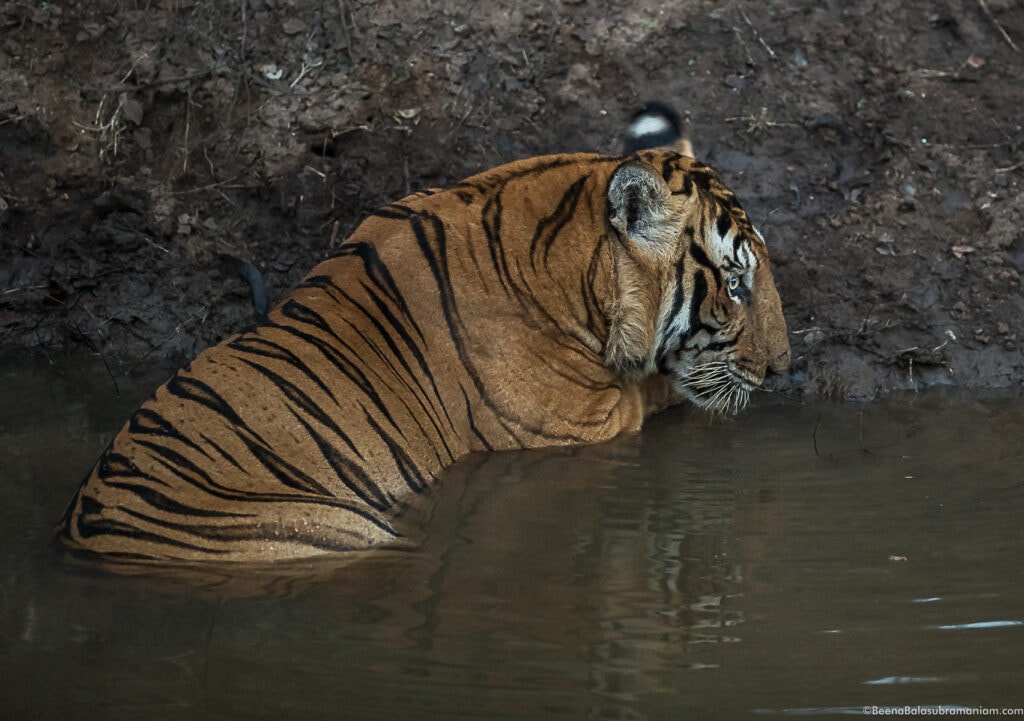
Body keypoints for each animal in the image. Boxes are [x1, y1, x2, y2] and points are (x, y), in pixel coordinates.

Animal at [56, 105, 790, 565]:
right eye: (736, 284)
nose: (784, 368)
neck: (570, 267)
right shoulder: (580, 424)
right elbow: (662, 392)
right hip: (332, 531)